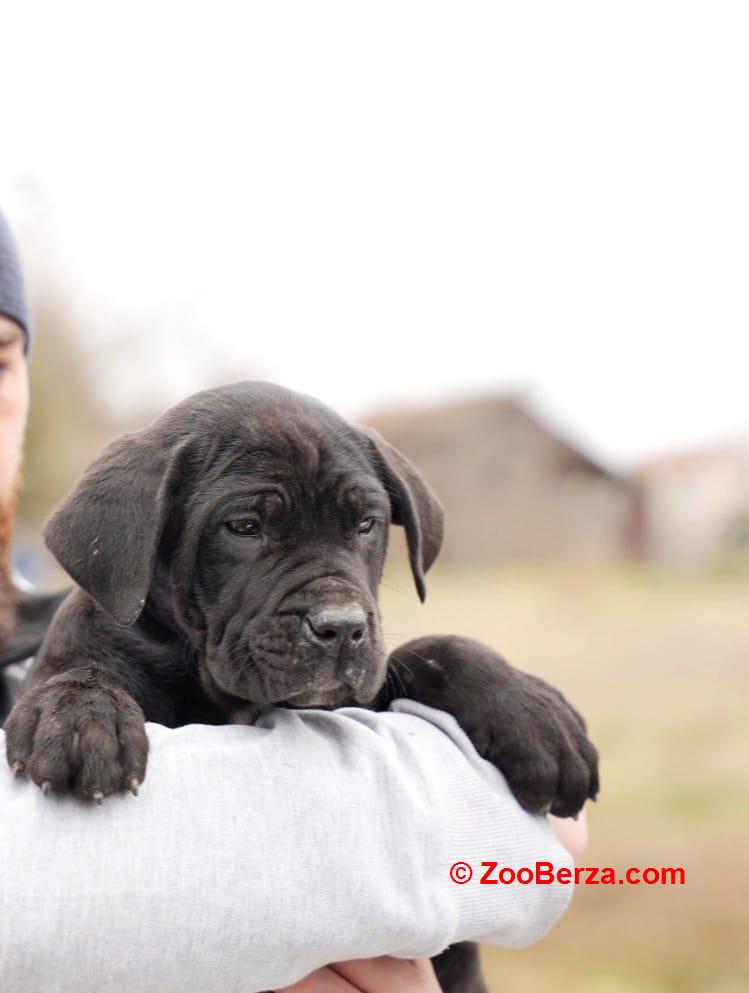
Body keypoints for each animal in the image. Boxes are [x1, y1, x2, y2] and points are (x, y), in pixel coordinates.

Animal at [4, 382, 596, 992]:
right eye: (244, 527)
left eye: (366, 524)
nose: (341, 627)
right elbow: (79, 669)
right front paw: (78, 714)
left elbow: (432, 648)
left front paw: (533, 715)